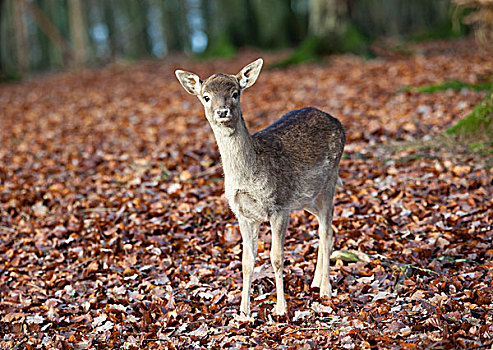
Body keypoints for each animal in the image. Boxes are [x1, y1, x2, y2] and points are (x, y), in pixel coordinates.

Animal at [175, 58, 344, 318]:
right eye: (206, 96)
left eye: (235, 93)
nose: (222, 111)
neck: (248, 177)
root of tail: (339, 124)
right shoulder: (242, 213)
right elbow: (246, 261)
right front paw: (243, 311)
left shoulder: (279, 205)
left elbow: (276, 257)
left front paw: (281, 309)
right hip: (307, 198)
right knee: (321, 229)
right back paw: (316, 281)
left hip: (330, 181)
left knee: (327, 232)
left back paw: (326, 289)